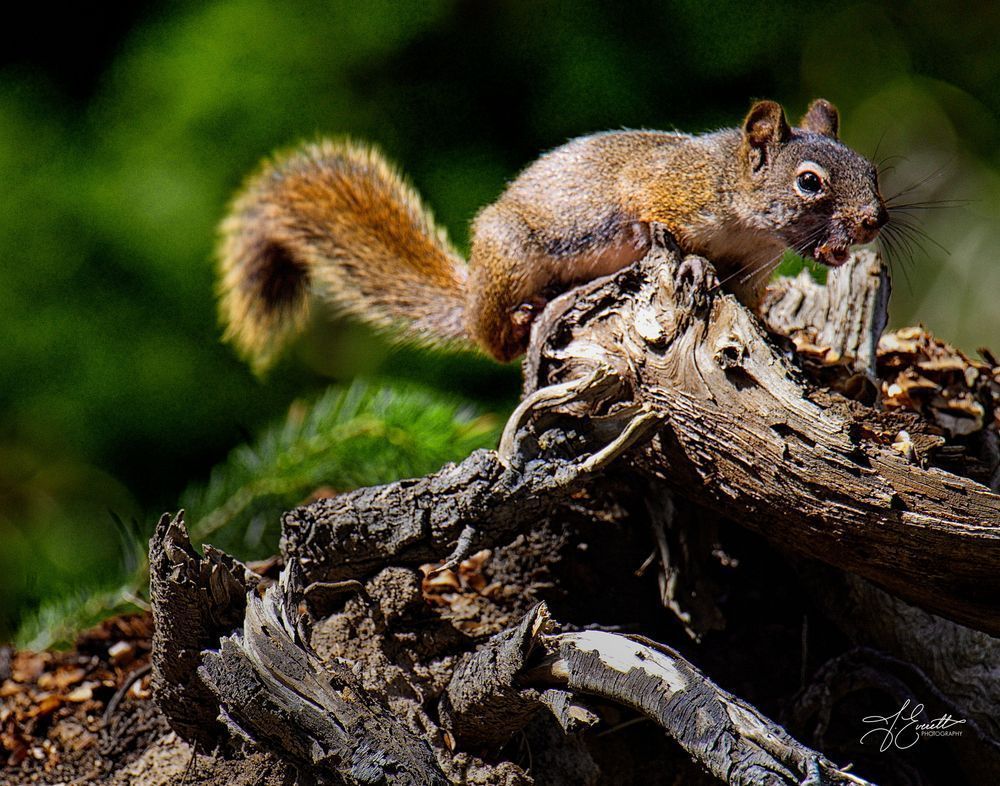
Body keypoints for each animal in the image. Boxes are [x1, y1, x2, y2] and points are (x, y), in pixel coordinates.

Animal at [217, 98, 887, 370]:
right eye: (809, 182)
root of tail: (470, 292)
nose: (873, 221)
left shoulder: (752, 275)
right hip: (513, 257)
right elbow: (656, 221)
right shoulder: (664, 186)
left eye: (872, 170)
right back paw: (515, 324)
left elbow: (753, 309)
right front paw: (688, 262)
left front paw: (783, 341)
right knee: (490, 337)